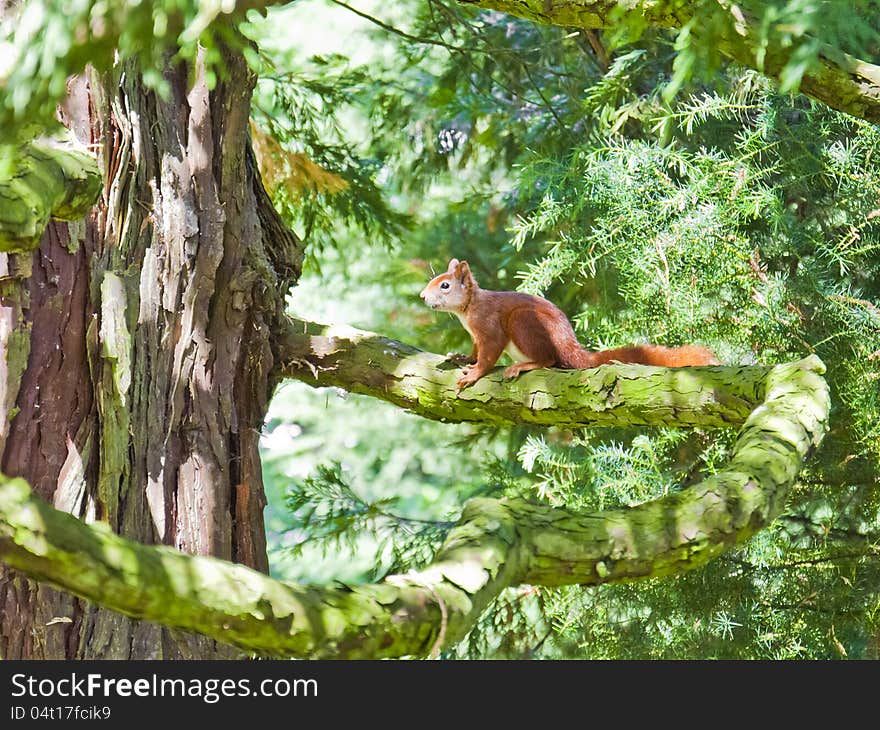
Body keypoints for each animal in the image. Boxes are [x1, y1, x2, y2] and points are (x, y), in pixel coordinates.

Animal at [422, 258, 720, 390]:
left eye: (445, 285)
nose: (422, 296)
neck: (468, 309)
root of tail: (569, 346)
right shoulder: (475, 336)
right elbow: (475, 351)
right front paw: (462, 358)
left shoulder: (490, 327)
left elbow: (488, 355)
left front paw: (474, 373)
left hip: (524, 322)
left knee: (550, 359)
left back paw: (524, 365)